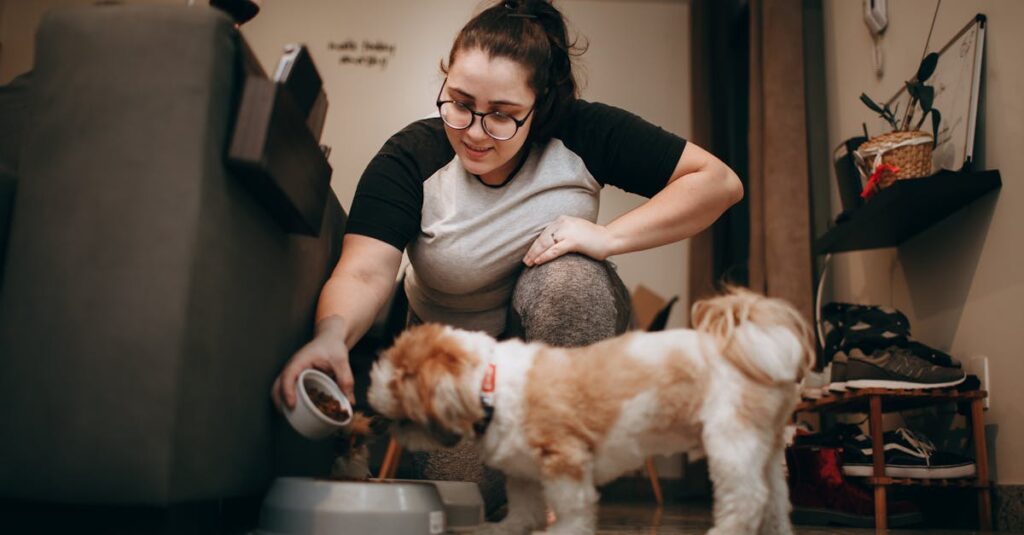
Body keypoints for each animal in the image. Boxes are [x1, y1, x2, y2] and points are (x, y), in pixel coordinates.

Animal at [370, 286, 815, 532]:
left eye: (396, 381)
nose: (373, 404)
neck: (489, 382)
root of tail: (758, 344)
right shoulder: (523, 471)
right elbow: (525, 513)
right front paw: (497, 530)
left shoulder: (566, 463)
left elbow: (572, 514)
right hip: (766, 452)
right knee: (775, 504)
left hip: (731, 442)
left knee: (747, 501)